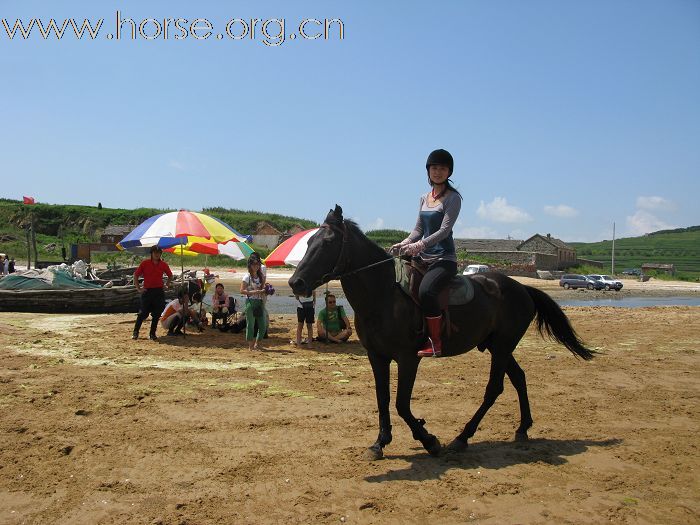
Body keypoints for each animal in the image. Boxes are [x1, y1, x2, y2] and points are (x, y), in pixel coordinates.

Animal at [288, 206, 592, 458]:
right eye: (308, 243)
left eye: (327, 243)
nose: (295, 282)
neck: (383, 295)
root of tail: (521, 287)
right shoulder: (377, 357)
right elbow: (383, 399)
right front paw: (380, 442)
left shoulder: (408, 358)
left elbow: (401, 404)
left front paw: (429, 440)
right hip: (498, 347)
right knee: (519, 378)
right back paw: (522, 428)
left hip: (503, 347)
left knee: (494, 388)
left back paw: (463, 437)